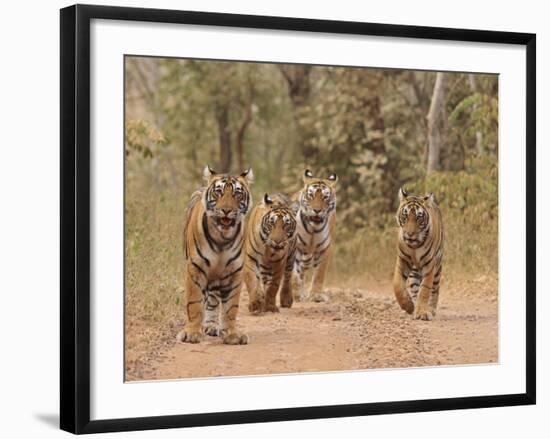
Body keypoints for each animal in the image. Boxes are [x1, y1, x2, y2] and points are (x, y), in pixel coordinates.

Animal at [177, 167, 254, 346]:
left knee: (213, 301)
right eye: (218, 192)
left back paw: (212, 326)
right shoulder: (196, 268)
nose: (226, 210)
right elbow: (195, 302)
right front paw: (191, 333)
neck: (222, 239)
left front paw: (232, 334)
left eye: (237, 194)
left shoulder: (234, 272)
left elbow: (230, 307)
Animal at [292, 169, 338, 302]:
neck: (313, 229)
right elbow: (293, 275)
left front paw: (316, 295)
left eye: (325, 197)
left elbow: (319, 274)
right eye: (311, 195)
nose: (317, 210)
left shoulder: (325, 249)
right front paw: (294, 294)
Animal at [394, 187, 446, 322]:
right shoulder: (402, 260)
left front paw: (423, 312)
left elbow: (425, 289)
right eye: (405, 216)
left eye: (419, 218)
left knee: (435, 289)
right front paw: (408, 306)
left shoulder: (429, 264)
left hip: (437, 267)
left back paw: (430, 309)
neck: (414, 246)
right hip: (414, 271)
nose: (410, 234)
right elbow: (397, 285)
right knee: (414, 287)